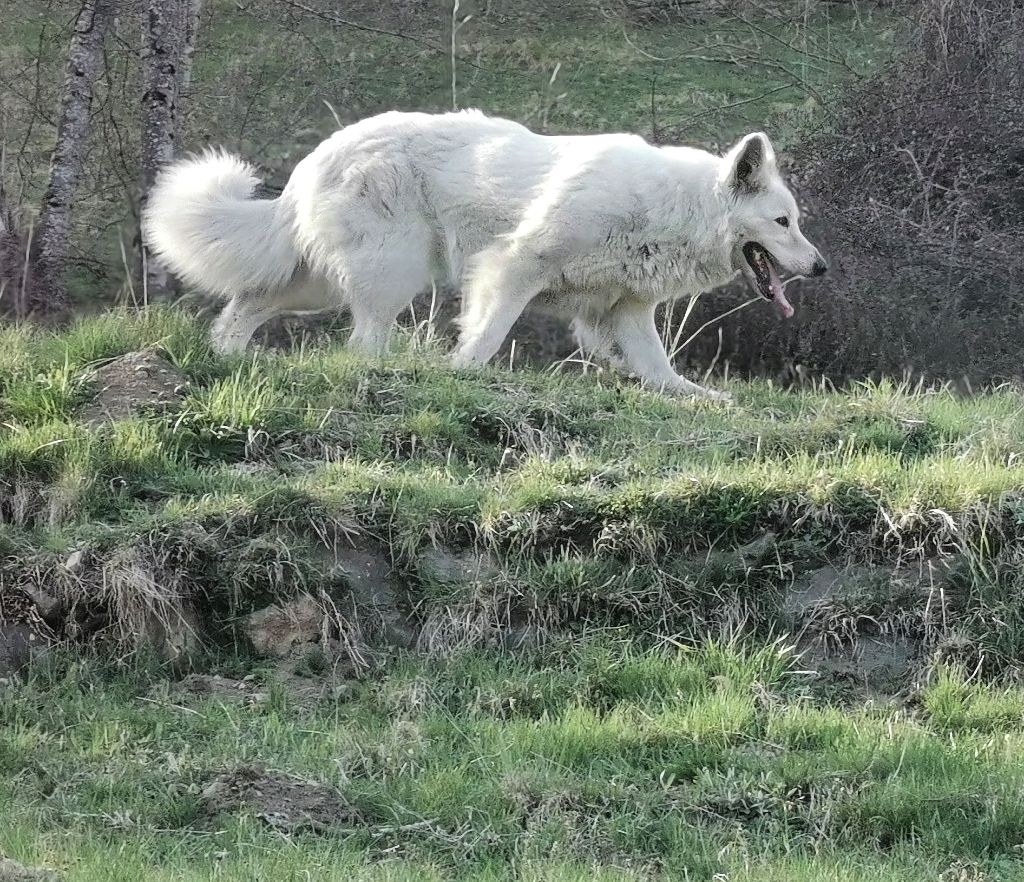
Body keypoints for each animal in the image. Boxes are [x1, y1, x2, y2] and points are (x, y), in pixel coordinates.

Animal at [144, 108, 827, 397]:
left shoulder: (625, 312)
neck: (676, 210)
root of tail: (319, 154)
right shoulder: (513, 267)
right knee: (362, 343)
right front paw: (461, 372)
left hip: (315, 283)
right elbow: (487, 335)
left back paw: (227, 357)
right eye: (783, 222)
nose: (820, 266)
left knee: (243, 305)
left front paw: (705, 400)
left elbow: (661, 372)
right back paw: (386, 370)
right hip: (391, 273)